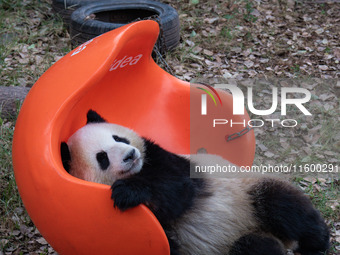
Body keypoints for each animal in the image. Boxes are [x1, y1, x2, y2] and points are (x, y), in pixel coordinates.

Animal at [60, 109, 330, 255]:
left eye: (119, 138)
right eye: (102, 157)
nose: (130, 155)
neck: (139, 170)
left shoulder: (164, 158)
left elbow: (177, 189)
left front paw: (127, 193)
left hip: (247, 192)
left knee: (282, 205)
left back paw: (316, 242)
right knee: (254, 246)